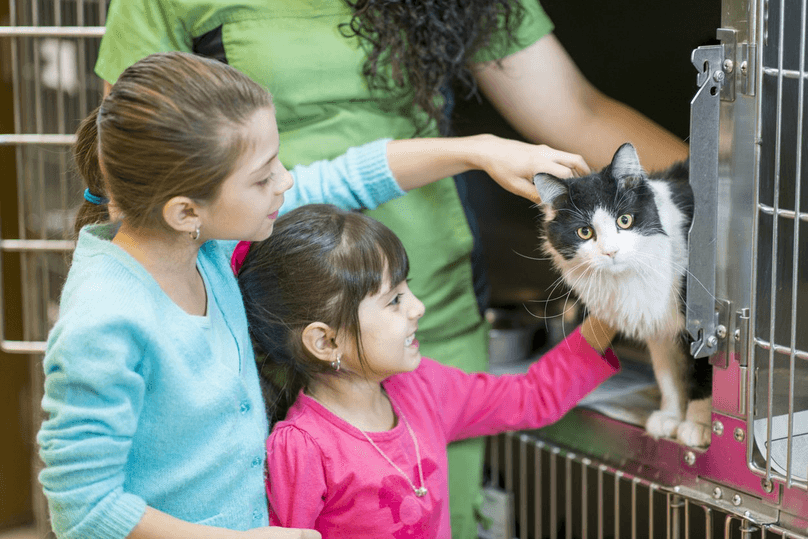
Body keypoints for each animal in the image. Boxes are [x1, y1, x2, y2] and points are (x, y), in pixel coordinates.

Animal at [532, 142, 712, 448]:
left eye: (624, 220)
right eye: (585, 232)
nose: (611, 252)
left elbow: (704, 375)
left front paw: (698, 425)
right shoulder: (658, 325)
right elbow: (669, 376)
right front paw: (671, 416)